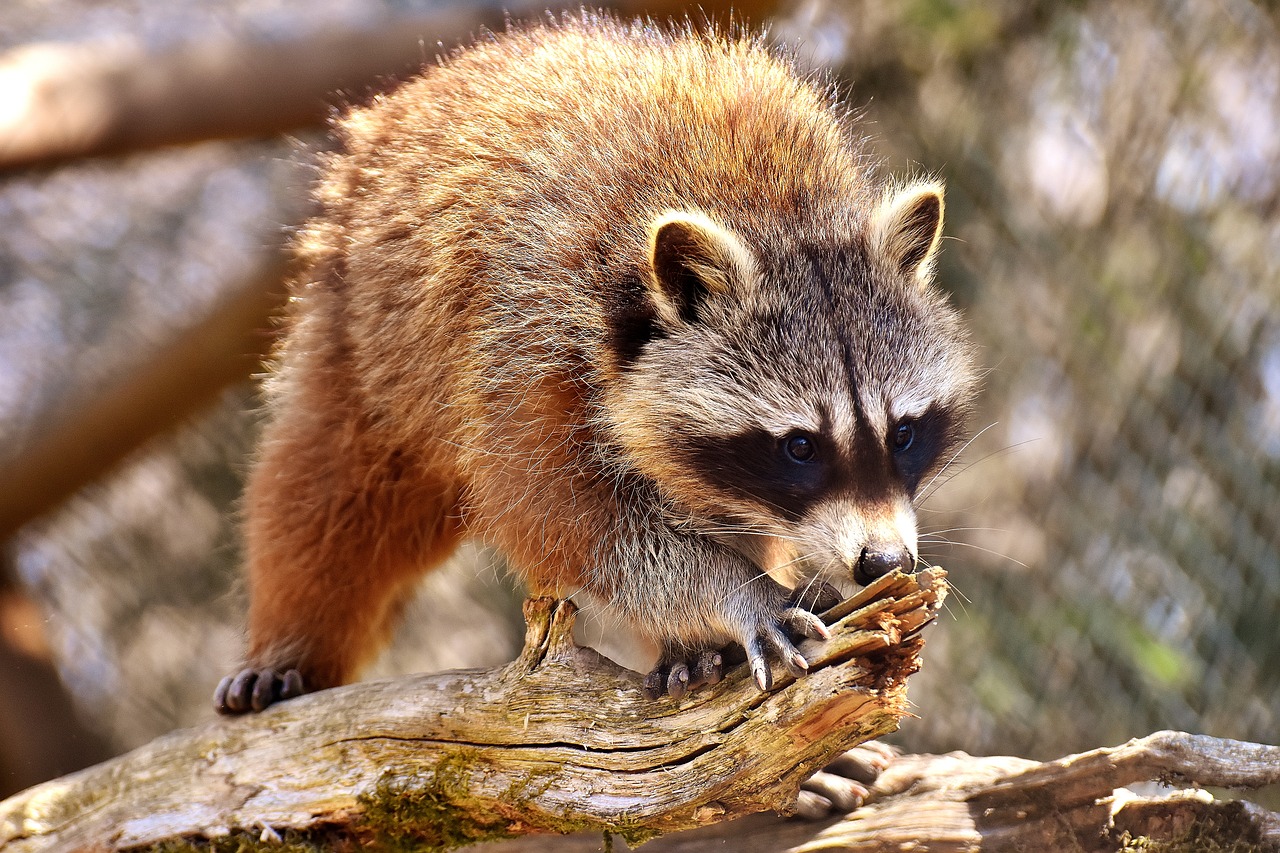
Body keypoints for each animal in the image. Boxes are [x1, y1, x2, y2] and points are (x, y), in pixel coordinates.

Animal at [217, 11, 977, 712]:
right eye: (800, 446)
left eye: (903, 433)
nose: (884, 561)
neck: (775, 207)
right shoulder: (528, 330)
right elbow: (566, 516)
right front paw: (733, 592)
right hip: (363, 321)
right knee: (332, 484)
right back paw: (291, 637)